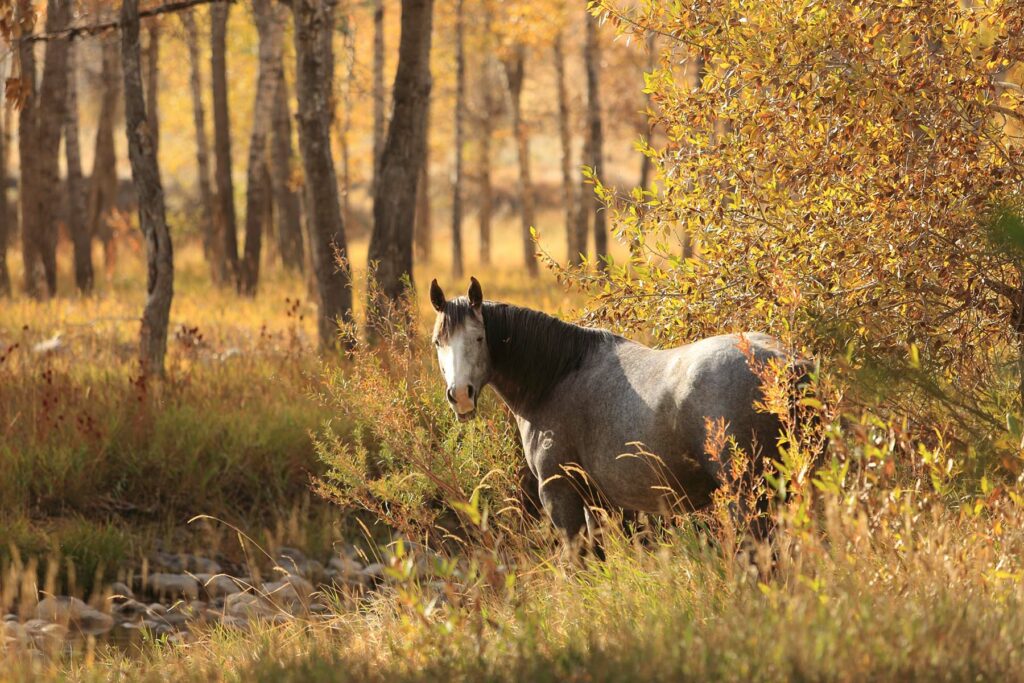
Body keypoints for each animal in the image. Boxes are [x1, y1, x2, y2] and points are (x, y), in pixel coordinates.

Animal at [430, 278, 806, 548]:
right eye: (438, 342)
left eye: (479, 338)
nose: (460, 396)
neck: (558, 376)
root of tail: (786, 360)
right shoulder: (598, 503)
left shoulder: (560, 495)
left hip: (746, 497)